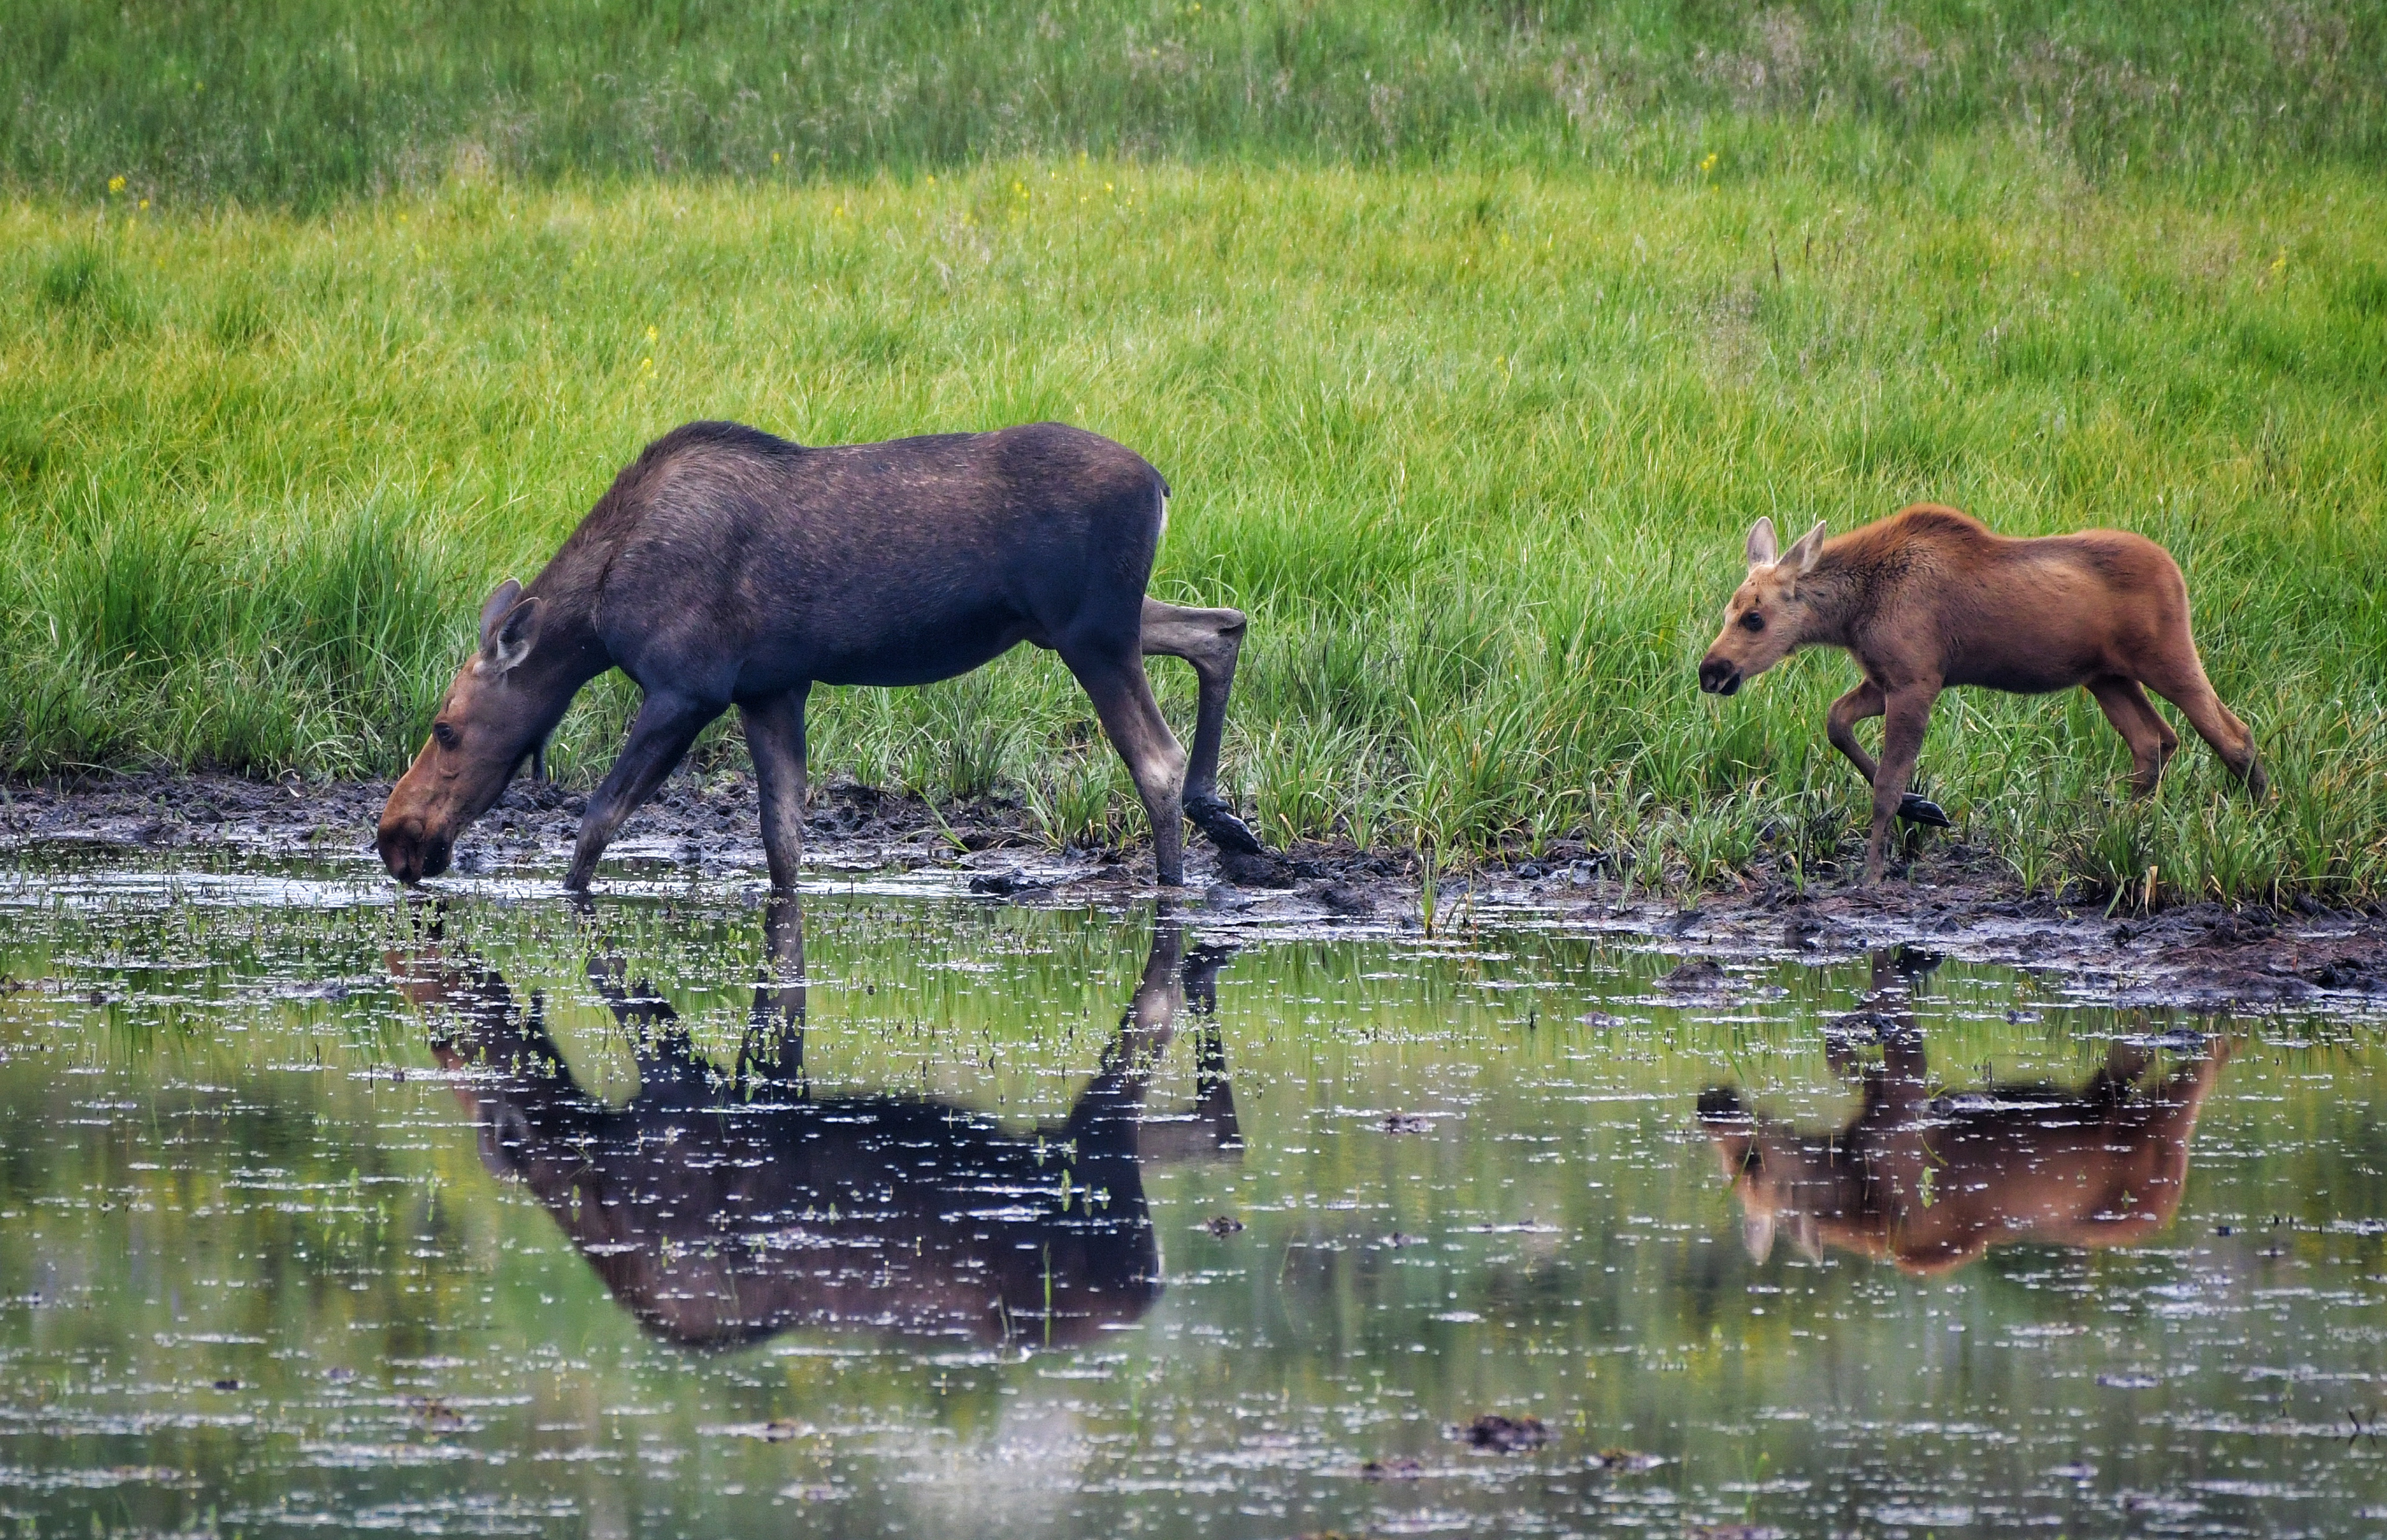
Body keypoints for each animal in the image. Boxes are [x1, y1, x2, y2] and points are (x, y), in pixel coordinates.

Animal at [377, 421, 1264, 893]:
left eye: (446, 728)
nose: (395, 835)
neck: (596, 613)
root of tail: (1160, 484)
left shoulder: (687, 687)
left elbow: (597, 821)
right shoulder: (772, 689)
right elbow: (783, 841)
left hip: (1089, 632)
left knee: (1155, 756)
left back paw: (1176, 880)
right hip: (1084, 624)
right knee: (1220, 628)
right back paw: (1222, 818)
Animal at [1698, 505, 2267, 883]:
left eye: (1754, 618)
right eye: (1727, 610)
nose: (1711, 671)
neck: (1852, 612)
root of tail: (2175, 569)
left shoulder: (1917, 681)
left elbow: (1885, 785)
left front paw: (1874, 872)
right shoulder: (1888, 679)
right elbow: (1837, 722)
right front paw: (1924, 807)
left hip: (2167, 656)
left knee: (2232, 734)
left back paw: (2263, 822)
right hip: (2105, 676)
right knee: (2155, 742)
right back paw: (2124, 828)